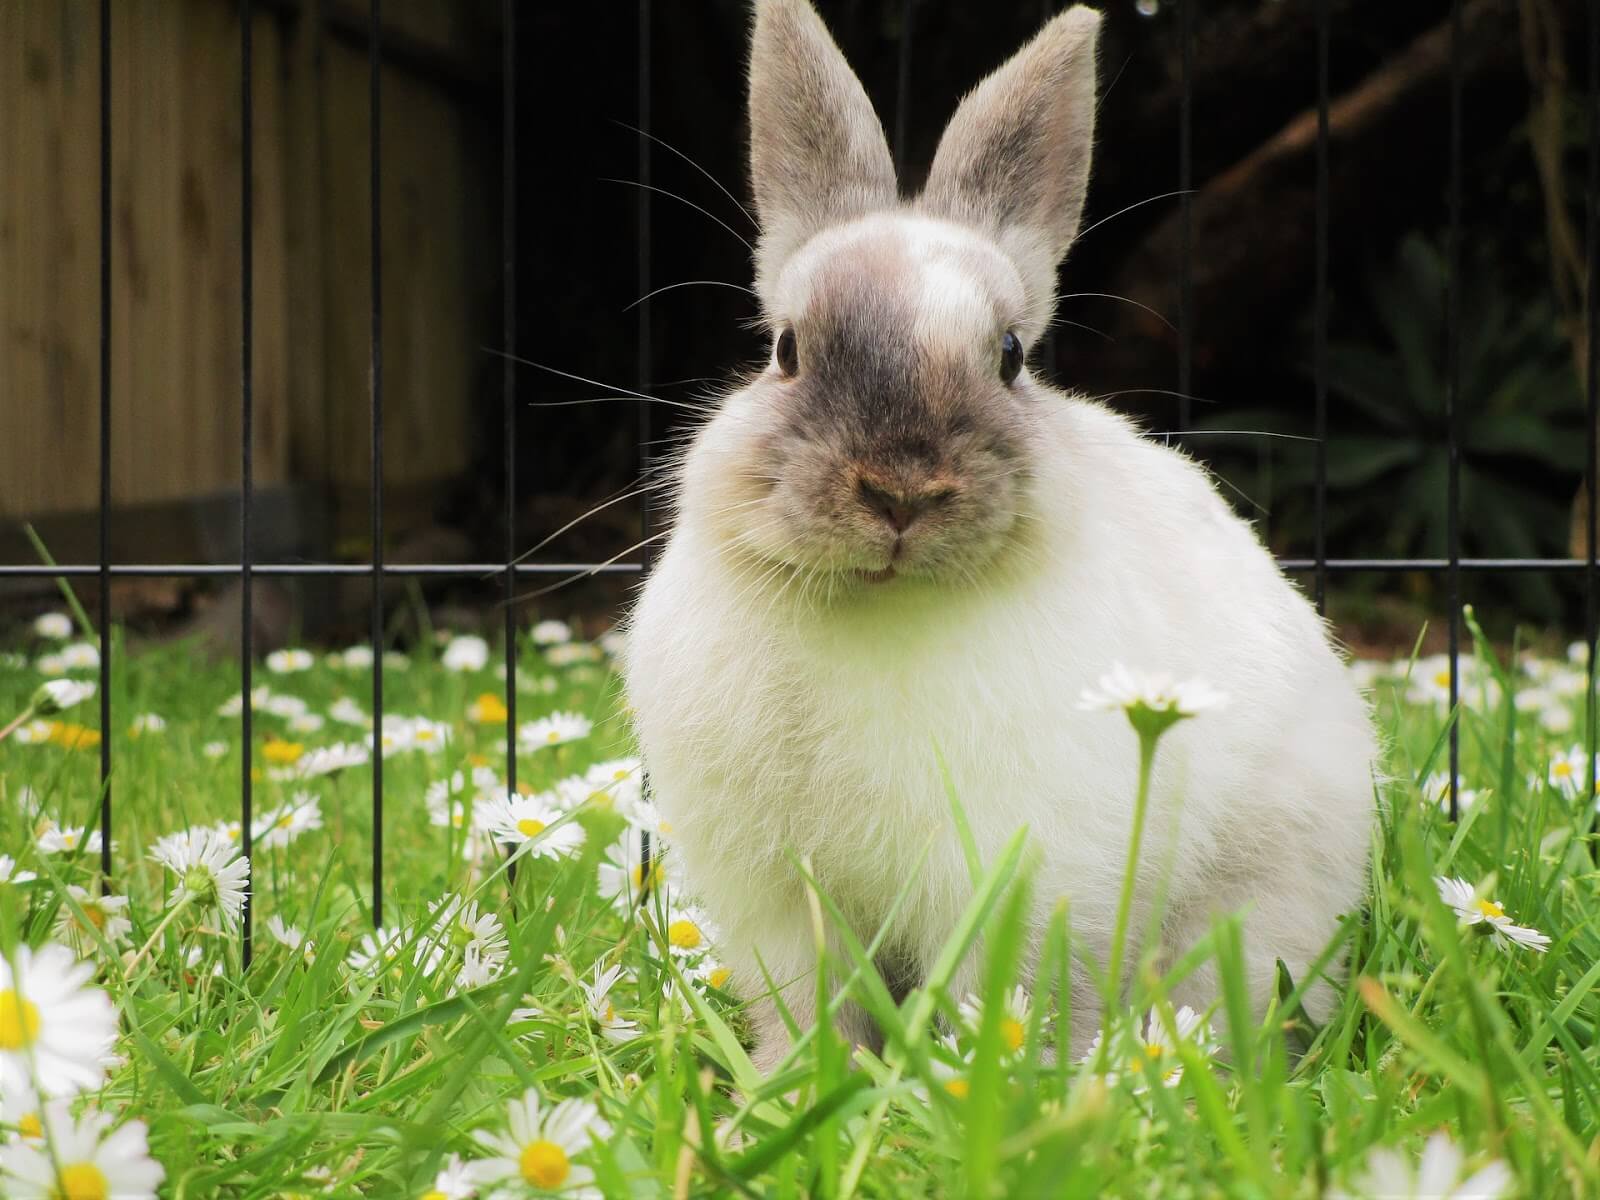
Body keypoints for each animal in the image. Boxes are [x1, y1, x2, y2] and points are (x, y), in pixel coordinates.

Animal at [623, 0, 1376, 1073]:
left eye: (1013, 356)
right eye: (785, 350)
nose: (900, 490)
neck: (881, 606)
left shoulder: (1025, 875)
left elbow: (1009, 991)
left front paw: (996, 1079)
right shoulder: (779, 899)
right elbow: (812, 1004)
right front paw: (792, 1083)